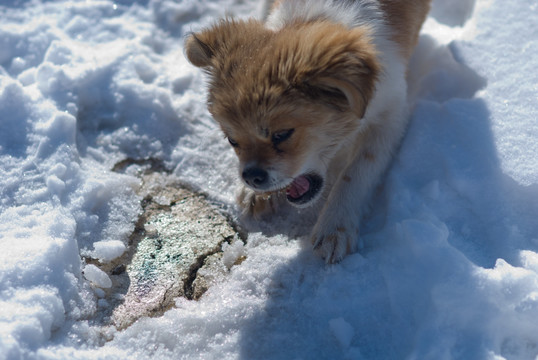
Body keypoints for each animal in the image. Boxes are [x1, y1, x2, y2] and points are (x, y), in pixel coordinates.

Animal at [186, 0, 430, 264]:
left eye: (282, 134)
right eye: (232, 140)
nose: (251, 177)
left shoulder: (390, 115)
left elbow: (357, 172)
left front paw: (335, 226)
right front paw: (254, 194)